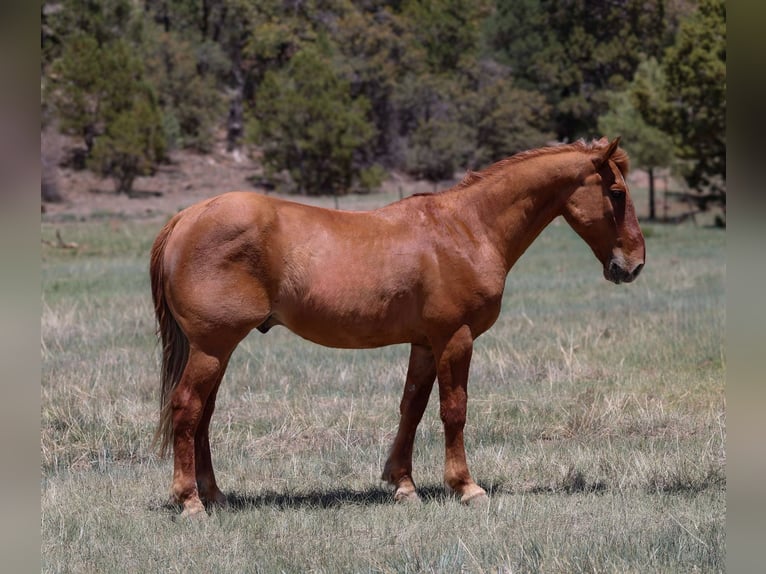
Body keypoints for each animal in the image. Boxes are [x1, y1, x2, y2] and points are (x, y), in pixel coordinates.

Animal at [150, 137, 644, 517]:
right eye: (616, 192)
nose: (634, 265)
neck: (466, 228)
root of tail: (187, 217)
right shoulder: (455, 338)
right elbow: (453, 410)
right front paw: (466, 487)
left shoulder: (425, 343)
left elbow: (412, 407)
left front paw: (403, 484)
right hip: (213, 346)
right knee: (188, 408)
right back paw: (190, 501)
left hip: (217, 349)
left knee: (204, 414)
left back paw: (215, 494)